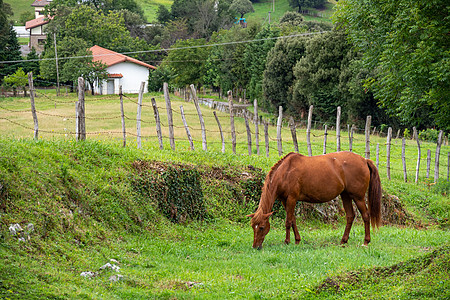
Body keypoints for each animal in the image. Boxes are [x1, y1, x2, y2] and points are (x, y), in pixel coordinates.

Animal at [248, 152, 382, 248]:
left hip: (358, 197)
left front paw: (287, 241)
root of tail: (364, 160)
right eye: (253, 226)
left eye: (261, 227)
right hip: (346, 195)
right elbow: (293, 220)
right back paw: (343, 241)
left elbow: (288, 221)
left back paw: (366, 241)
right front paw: (297, 240)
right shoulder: (285, 201)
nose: (255, 246)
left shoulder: (292, 199)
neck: (285, 172)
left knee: (365, 216)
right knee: (350, 216)